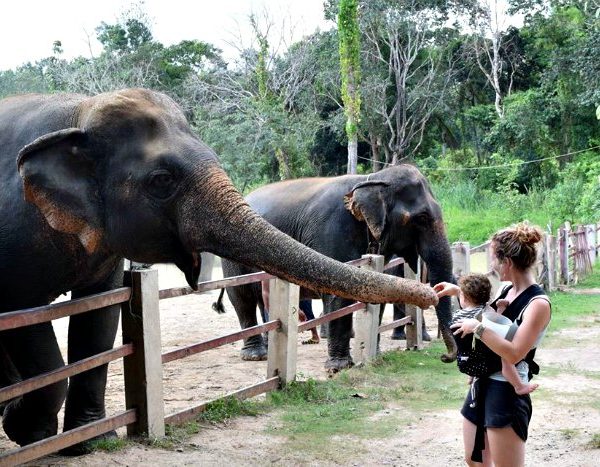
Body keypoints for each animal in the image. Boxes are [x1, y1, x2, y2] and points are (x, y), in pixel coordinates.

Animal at [0, 88, 434, 454]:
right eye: (161, 180)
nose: (435, 293)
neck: (81, 111)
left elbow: (99, 314)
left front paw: (89, 443)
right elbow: (24, 315)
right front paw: (29, 432)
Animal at [218, 165, 458, 372]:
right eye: (422, 218)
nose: (444, 357)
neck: (372, 179)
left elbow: (381, 291)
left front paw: (374, 356)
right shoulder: (332, 230)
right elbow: (337, 296)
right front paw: (340, 367)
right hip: (233, 258)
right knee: (242, 297)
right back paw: (255, 355)